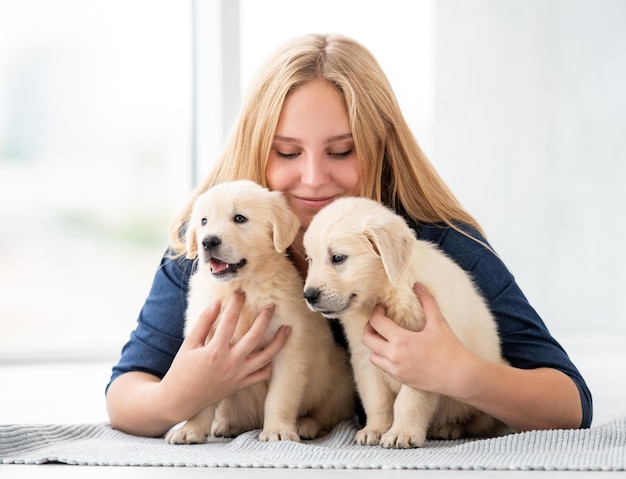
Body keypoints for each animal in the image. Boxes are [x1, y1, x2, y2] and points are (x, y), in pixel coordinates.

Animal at [163, 181, 354, 446]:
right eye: (203, 221)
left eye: (239, 218)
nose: (208, 242)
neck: (242, 287)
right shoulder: (206, 348)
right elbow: (200, 393)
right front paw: (190, 430)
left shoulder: (290, 346)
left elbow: (280, 396)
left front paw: (278, 431)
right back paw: (228, 424)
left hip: (337, 382)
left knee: (326, 415)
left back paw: (307, 424)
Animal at [302, 196, 508, 450]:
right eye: (310, 259)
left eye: (337, 257)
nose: (308, 295)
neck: (385, 295)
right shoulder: (365, 358)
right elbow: (376, 400)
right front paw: (375, 429)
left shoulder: (420, 359)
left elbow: (408, 401)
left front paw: (402, 433)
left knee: (478, 423)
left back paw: (450, 428)